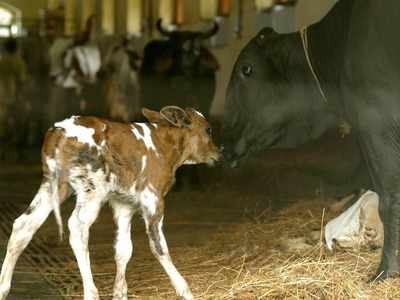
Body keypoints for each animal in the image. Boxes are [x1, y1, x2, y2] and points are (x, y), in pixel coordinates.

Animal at [0, 105, 219, 298]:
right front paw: (185, 291)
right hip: (92, 190)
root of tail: (59, 130)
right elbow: (159, 247)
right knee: (77, 228)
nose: (218, 152)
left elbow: (123, 249)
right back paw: (91, 293)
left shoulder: (124, 204)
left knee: (23, 225)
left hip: (53, 185)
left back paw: (3, 288)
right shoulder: (153, 198)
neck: (163, 147)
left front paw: (120, 293)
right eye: (208, 129)